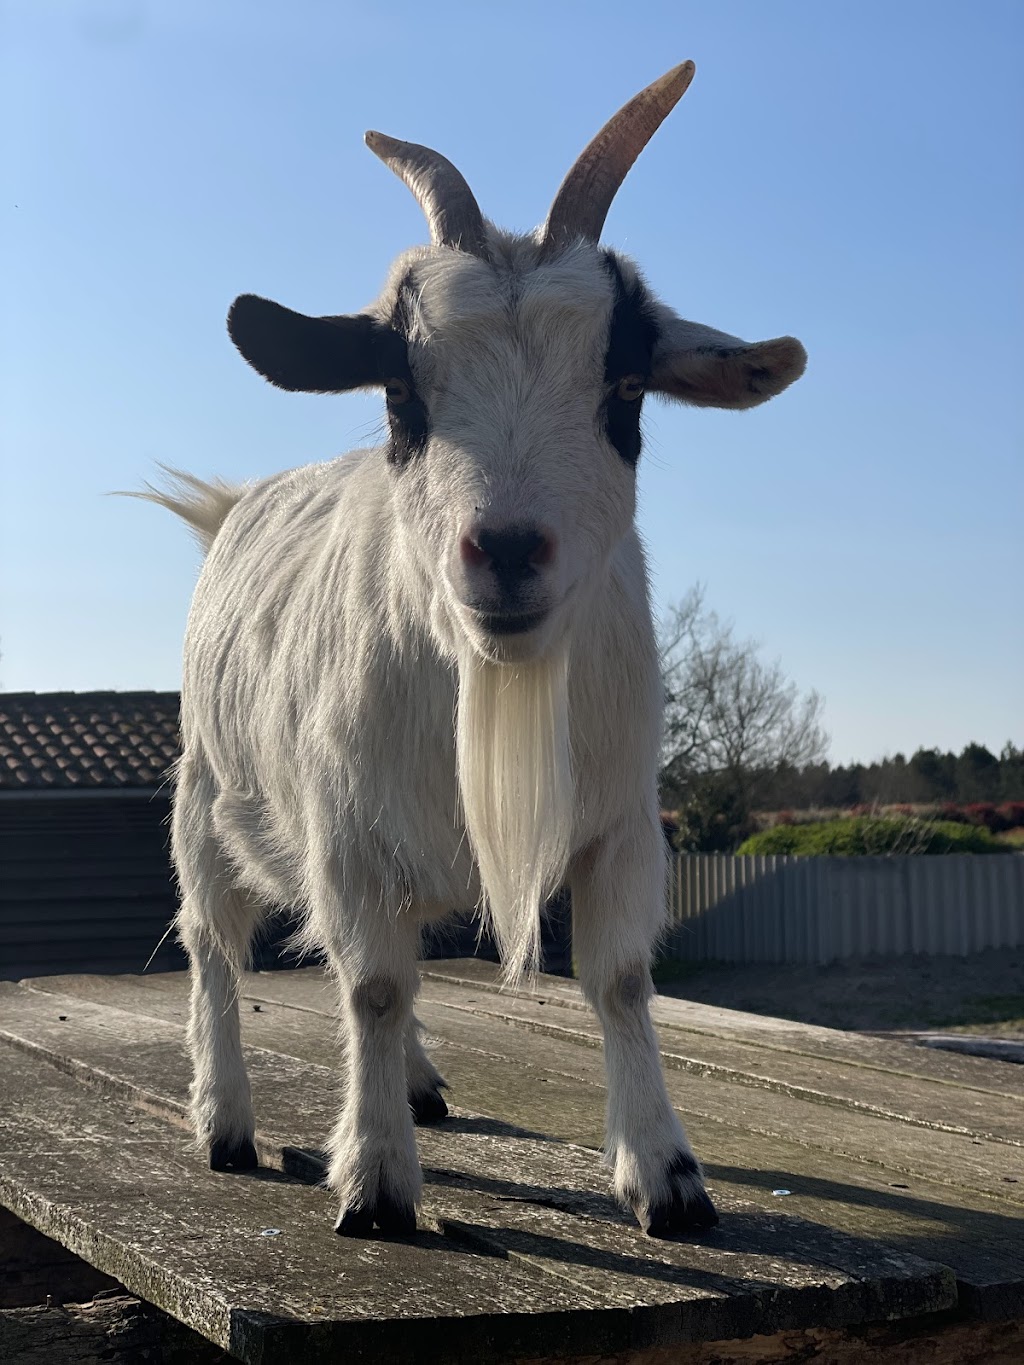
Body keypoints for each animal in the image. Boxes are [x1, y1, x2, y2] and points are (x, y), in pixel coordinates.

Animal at [145, 61, 806, 1239]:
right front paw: (374, 1184)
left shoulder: (623, 822)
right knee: (215, 945)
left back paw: (414, 1084)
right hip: (206, 797)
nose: (502, 550)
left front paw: (667, 1176)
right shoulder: (345, 834)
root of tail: (231, 506)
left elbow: (620, 979)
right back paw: (224, 1121)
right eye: (400, 393)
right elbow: (369, 986)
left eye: (624, 389)